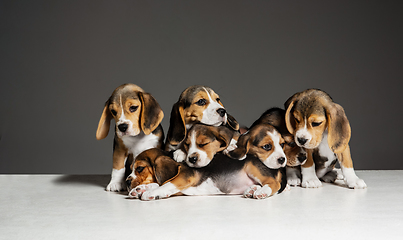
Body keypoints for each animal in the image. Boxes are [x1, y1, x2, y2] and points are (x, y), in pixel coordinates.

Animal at [126, 148, 288, 201]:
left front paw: (148, 193)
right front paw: (140, 189)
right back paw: (252, 190)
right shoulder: (181, 188)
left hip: (252, 166)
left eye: (139, 168)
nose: (127, 181)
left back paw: (261, 192)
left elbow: (166, 184)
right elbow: (160, 184)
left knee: (274, 183)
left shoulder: (185, 177)